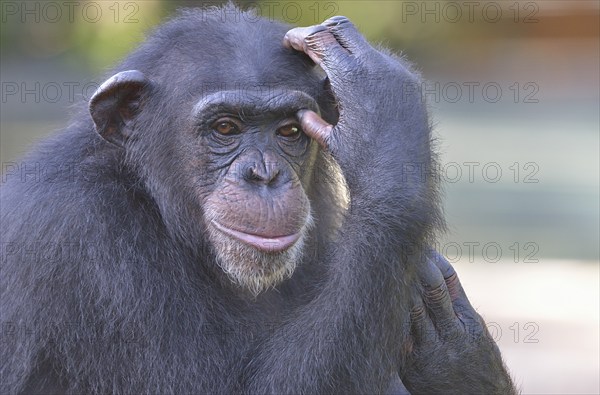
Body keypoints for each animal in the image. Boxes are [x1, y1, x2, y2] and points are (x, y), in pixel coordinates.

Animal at [1, 6, 516, 395]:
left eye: (288, 131)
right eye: (225, 127)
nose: (264, 174)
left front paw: (457, 361)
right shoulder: (78, 235)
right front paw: (385, 119)